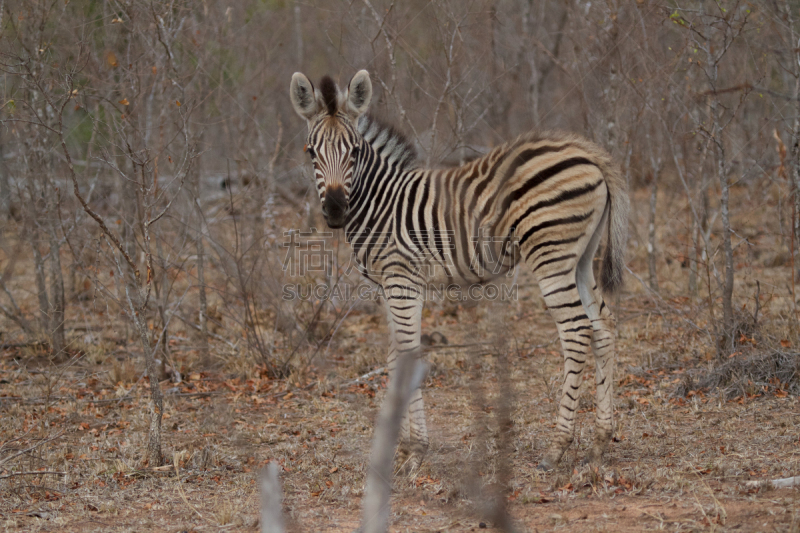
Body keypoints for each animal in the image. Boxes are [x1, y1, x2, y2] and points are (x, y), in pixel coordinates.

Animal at [290, 67, 628, 470]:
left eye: (354, 151)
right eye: (311, 151)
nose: (336, 210)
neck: (380, 203)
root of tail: (586, 152)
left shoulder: (403, 279)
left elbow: (407, 353)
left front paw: (417, 450)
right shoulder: (388, 286)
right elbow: (393, 355)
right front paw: (400, 444)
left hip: (550, 254)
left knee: (576, 331)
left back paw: (558, 446)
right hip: (581, 258)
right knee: (603, 326)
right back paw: (601, 440)